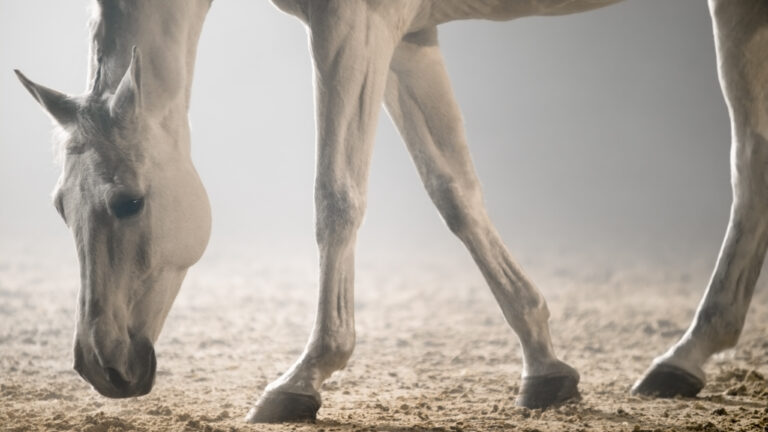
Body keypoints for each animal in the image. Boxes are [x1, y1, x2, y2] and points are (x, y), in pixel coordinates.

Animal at [15, 0, 768, 423]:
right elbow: (455, 191)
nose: (99, 365)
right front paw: (545, 365)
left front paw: (303, 377)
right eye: (58, 208)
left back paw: (688, 352)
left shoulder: (353, 26)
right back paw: (684, 359)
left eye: (129, 202)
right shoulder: (409, 37)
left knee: (749, 158)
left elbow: (336, 195)